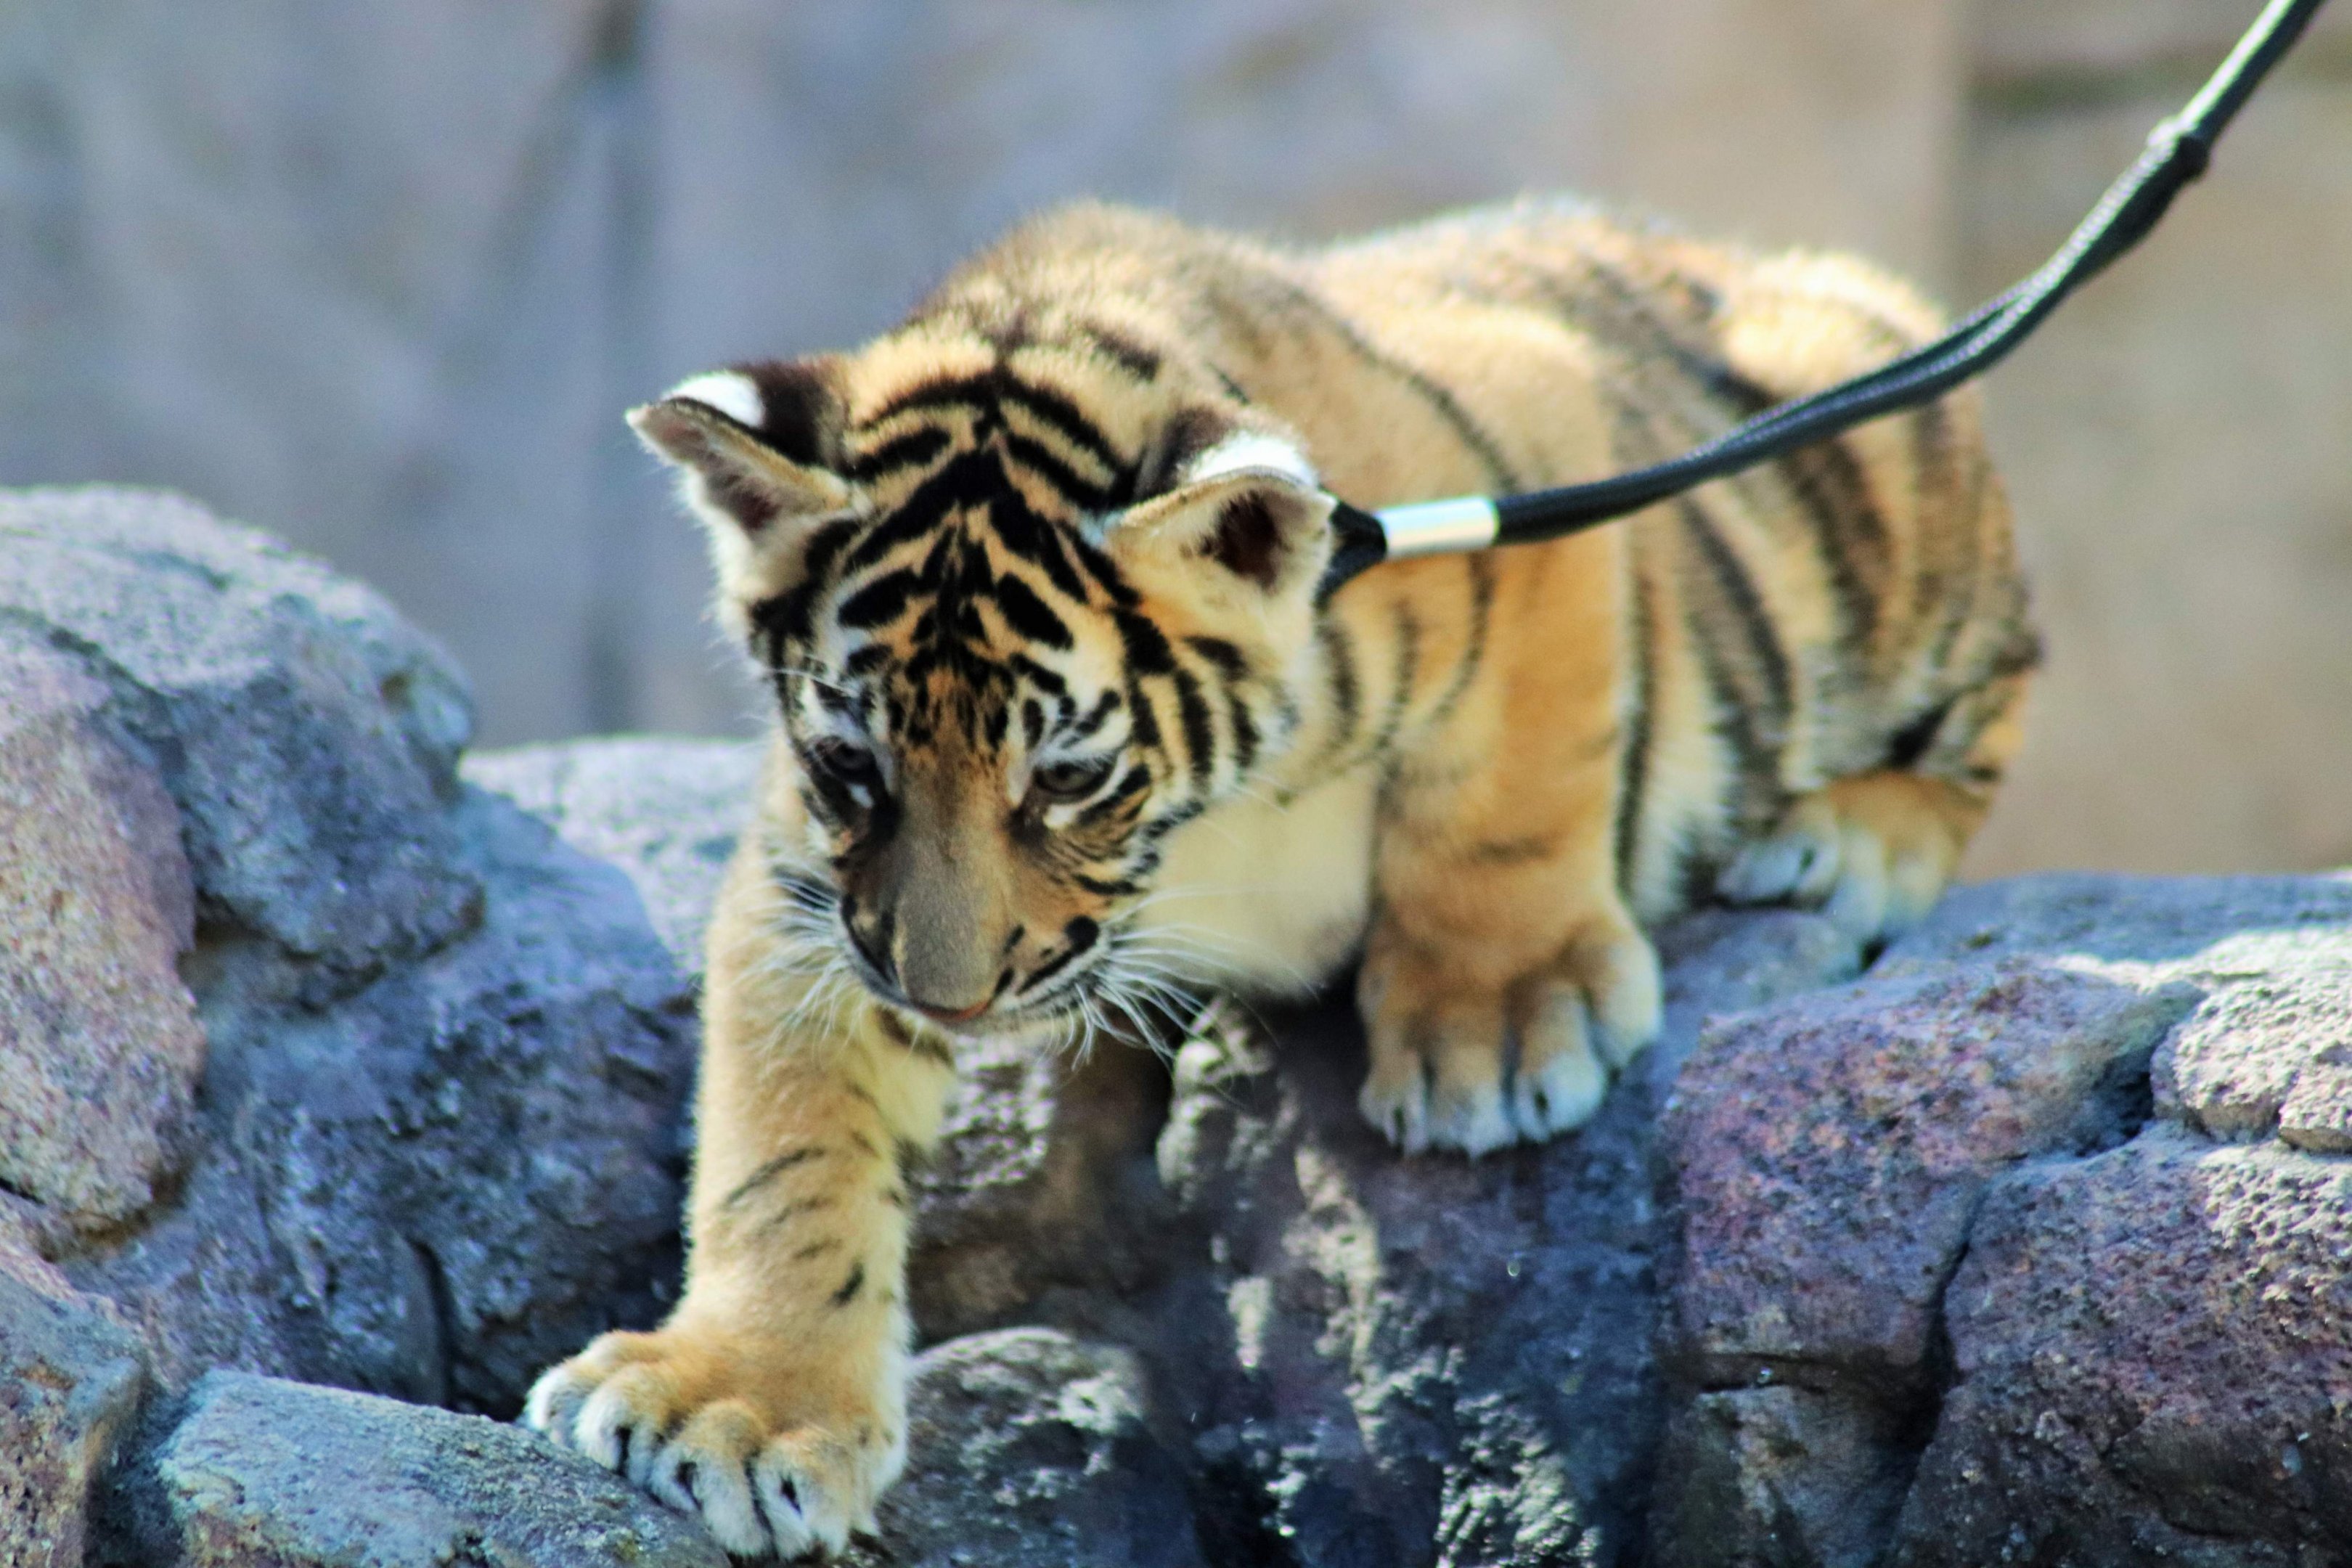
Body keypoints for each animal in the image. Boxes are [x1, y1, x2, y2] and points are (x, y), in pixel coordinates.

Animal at [523, 197, 2035, 1557]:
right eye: (856, 764)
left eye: (1064, 776)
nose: (948, 1002)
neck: (1194, 829)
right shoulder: (817, 892)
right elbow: (786, 1142)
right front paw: (735, 1405)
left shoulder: (1528, 463)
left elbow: (1517, 765)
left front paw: (1495, 1030)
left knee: (1993, 703)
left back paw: (1846, 839)